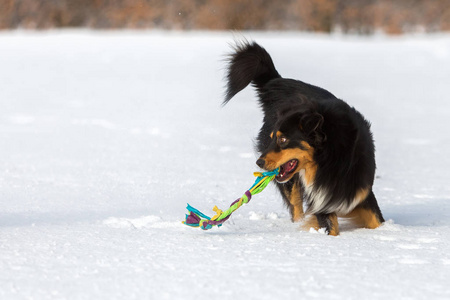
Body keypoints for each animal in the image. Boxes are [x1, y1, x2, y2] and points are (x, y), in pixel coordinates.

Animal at [223, 41, 384, 236]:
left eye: (283, 140)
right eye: (273, 138)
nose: (259, 163)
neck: (332, 159)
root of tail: (277, 82)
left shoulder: (360, 190)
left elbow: (377, 221)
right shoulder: (320, 200)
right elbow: (330, 228)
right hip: (290, 183)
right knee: (296, 208)